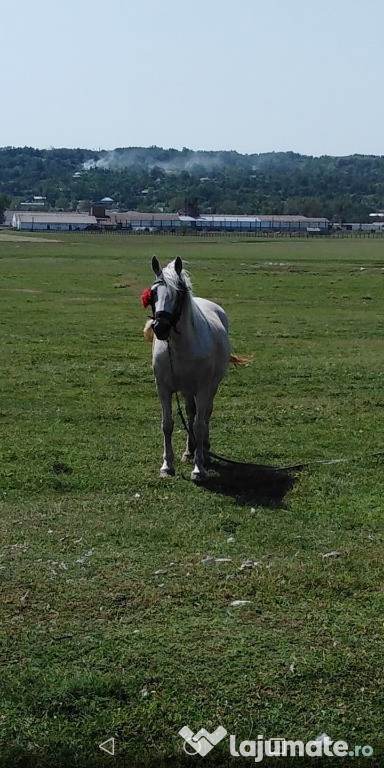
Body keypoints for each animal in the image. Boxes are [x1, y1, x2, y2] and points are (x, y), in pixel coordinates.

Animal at [143, 255, 228, 476]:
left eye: (178, 293)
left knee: (204, 416)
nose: (161, 327)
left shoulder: (203, 388)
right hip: (187, 390)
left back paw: (203, 449)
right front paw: (167, 466)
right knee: (190, 414)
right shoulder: (164, 388)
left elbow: (199, 424)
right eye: (153, 293)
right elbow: (168, 424)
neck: (180, 348)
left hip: (210, 388)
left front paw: (199, 468)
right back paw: (190, 450)